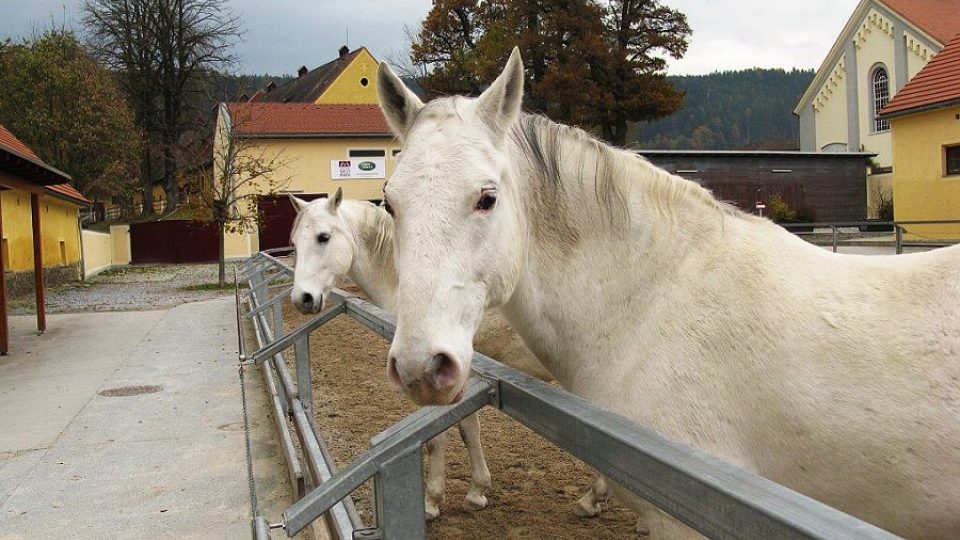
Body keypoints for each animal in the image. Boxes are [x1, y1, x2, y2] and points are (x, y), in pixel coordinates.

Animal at [288, 189, 600, 520]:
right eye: (294, 242)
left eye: (323, 237)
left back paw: (591, 500)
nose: (302, 299)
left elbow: (446, 436)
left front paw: (435, 500)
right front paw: (477, 491)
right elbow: (466, 430)